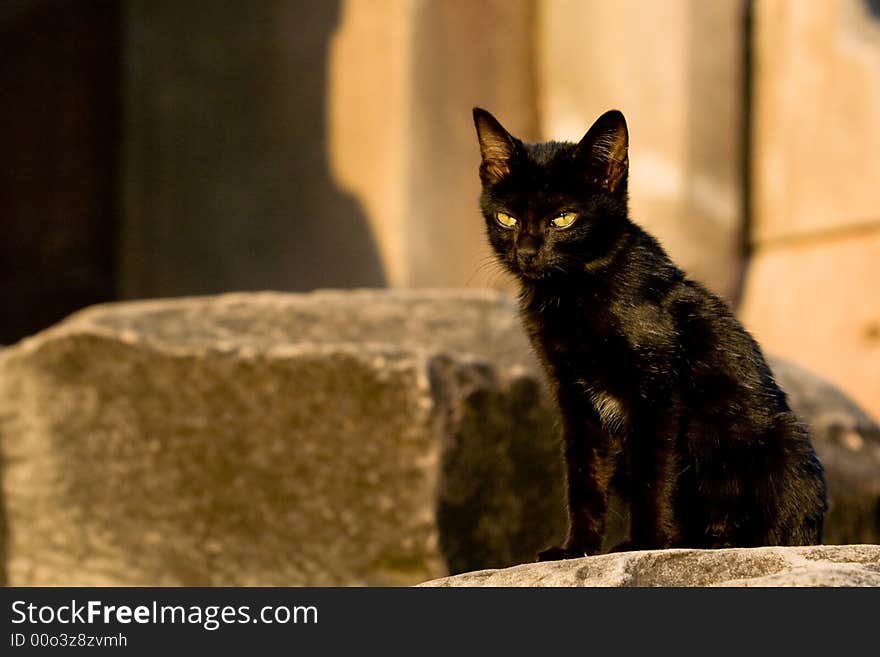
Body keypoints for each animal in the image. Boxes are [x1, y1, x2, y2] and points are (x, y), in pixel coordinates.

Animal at [474, 107, 824, 560]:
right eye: (507, 218)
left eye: (563, 219)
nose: (528, 253)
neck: (573, 294)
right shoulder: (573, 397)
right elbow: (584, 477)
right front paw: (576, 548)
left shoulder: (657, 392)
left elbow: (653, 474)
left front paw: (644, 543)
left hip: (783, 438)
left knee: (778, 533)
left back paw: (719, 540)